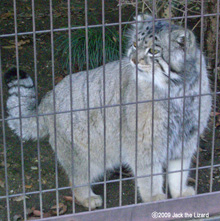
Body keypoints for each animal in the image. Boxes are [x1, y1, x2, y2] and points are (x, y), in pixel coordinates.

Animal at [5, 14, 211, 209]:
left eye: (153, 51)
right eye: (135, 44)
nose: (133, 60)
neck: (177, 92)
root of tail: (49, 97)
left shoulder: (186, 141)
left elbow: (178, 173)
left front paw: (180, 194)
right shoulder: (145, 146)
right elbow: (150, 179)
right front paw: (154, 199)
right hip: (85, 156)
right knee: (77, 180)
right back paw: (87, 198)